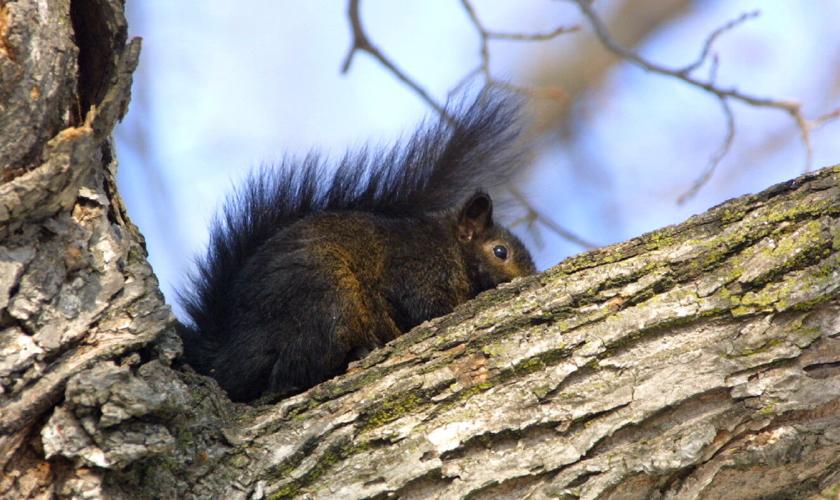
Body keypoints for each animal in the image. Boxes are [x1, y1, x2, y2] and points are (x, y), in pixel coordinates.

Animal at [177, 93, 536, 402]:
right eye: (500, 252)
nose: (526, 277)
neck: (451, 247)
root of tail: (229, 352)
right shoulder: (418, 266)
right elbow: (422, 305)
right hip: (325, 303)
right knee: (288, 375)